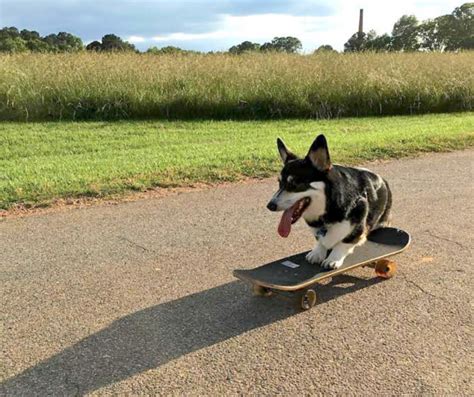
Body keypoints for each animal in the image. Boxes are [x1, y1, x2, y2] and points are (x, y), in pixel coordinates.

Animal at [266, 134, 392, 270]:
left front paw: (333, 259)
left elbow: (344, 242)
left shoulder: (358, 227)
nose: (270, 206)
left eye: (295, 183)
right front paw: (317, 252)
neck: (328, 207)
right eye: (279, 183)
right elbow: (320, 241)